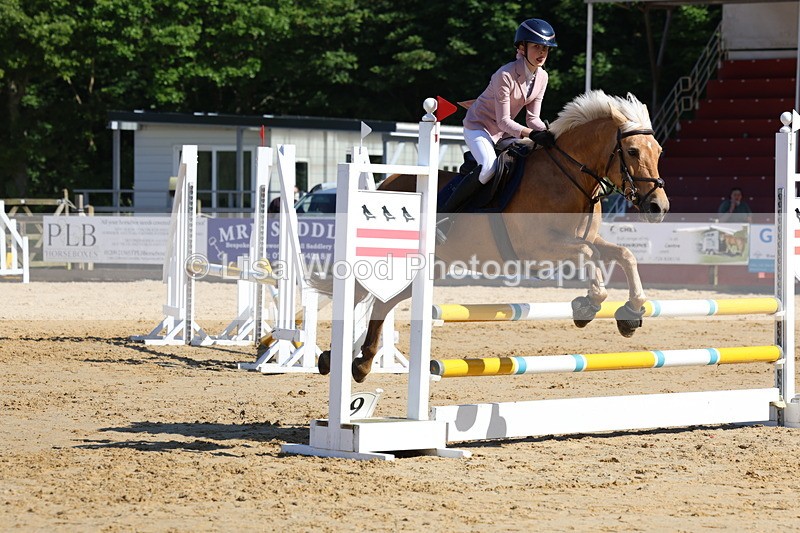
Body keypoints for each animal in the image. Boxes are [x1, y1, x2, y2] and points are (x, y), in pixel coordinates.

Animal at [318, 90, 669, 383]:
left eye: (659, 151)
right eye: (632, 151)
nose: (658, 207)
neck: (568, 177)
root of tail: (387, 181)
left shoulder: (584, 239)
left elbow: (624, 254)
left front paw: (631, 313)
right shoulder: (537, 249)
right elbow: (588, 255)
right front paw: (587, 306)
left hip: (432, 267)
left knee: (383, 301)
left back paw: (360, 364)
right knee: (361, 294)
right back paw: (334, 359)